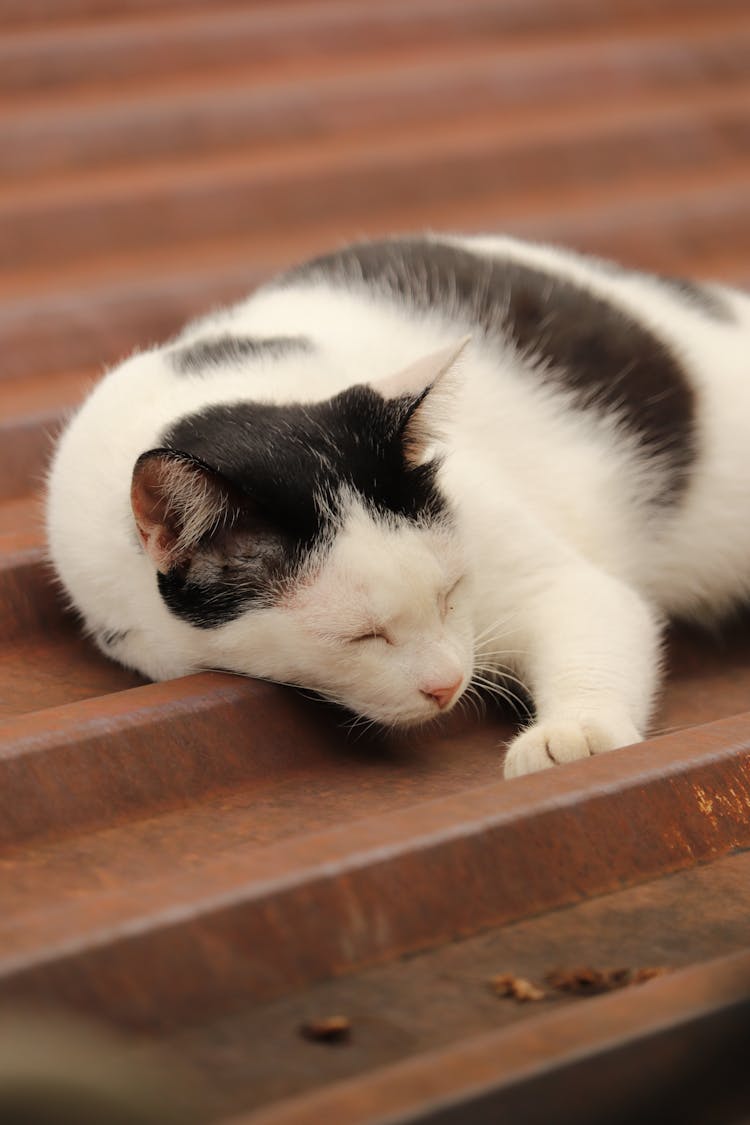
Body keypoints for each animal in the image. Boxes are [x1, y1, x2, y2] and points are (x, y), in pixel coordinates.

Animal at [45, 232, 750, 778]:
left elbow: (592, 608)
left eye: (451, 593)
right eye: (361, 636)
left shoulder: (545, 574)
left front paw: (574, 735)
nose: (448, 684)